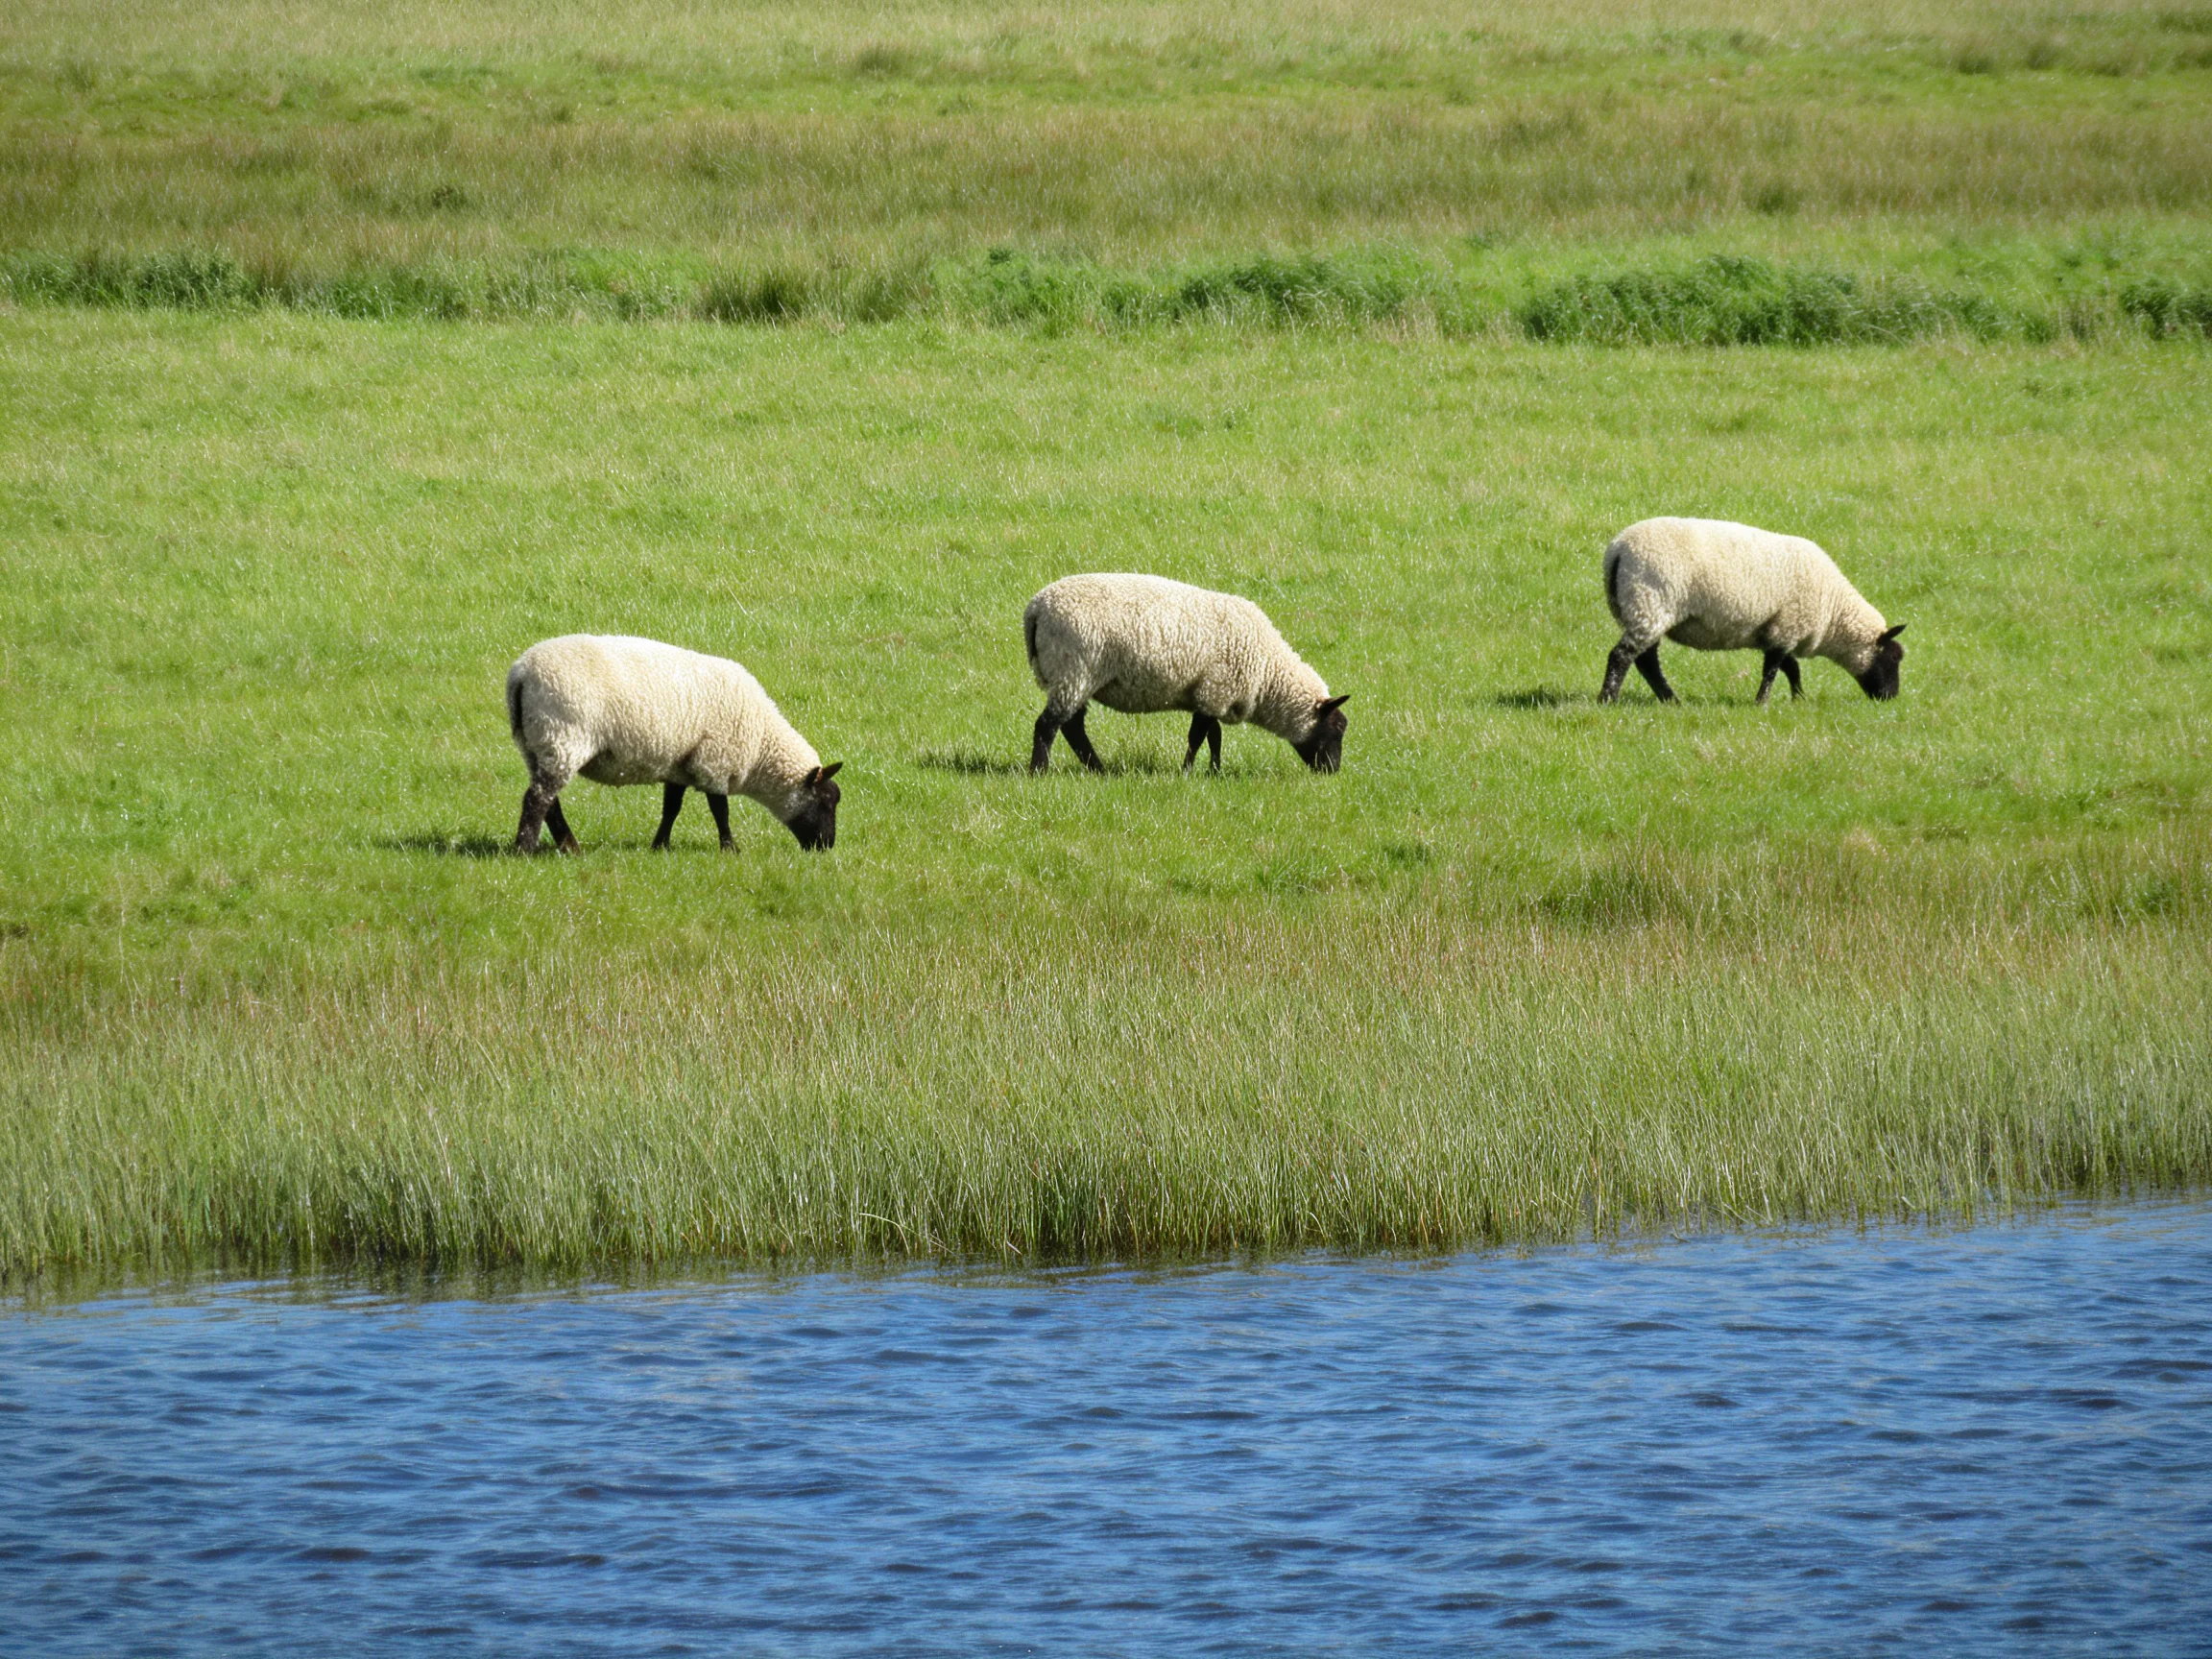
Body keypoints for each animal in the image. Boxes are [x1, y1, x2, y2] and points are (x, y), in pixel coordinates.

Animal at [505, 634, 842, 853]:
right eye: (827, 801)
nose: (826, 847)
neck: (761, 744)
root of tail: (521, 674)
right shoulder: (715, 761)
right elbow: (720, 810)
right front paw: (730, 848)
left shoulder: (680, 763)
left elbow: (672, 808)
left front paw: (660, 845)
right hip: (563, 736)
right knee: (537, 799)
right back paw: (525, 848)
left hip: (535, 743)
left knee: (548, 801)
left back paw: (568, 846)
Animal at [1023, 574, 1349, 774]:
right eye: (1336, 729)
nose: (1333, 771)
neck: (1268, 673)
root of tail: (1036, 609)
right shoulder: (1216, 690)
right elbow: (1198, 737)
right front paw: (1187, 771)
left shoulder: (1211, 695)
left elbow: (1213, 736)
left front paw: (1214, 771)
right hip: (1074, 671)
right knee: (1049, 725)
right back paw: (1039, 771)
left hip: (1074, 677)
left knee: (1072, 727)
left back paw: (1097, 769)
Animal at [1598, 517, 1905, 705]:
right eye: (1894, 657)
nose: (1891, 697)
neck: (1833, 611)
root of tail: (1618, 550)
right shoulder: (1788, 626)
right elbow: (1773, 670)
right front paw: (1762, 702)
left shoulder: (1777, 630)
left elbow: (1790, 667)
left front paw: (1798, 698)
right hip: (1651, 602)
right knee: (1622, 656)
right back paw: (1609, 699)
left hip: (1641, 609)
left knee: (1645, 660)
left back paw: (1670, 700)